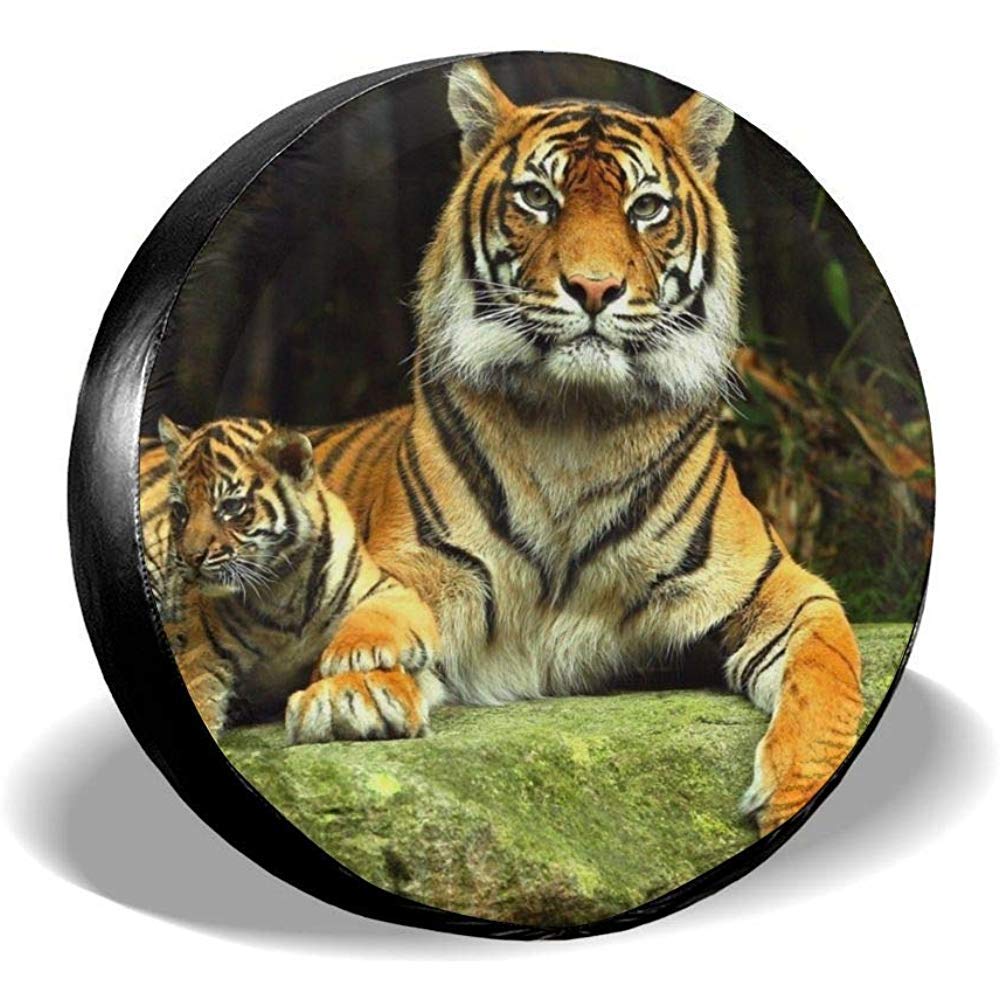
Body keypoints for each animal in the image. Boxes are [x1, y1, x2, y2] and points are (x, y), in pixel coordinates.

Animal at [138, 415, 442, 743]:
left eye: (231, 507)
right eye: (181, 510)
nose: (192, 557)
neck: (281, 588)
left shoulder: (390, 590)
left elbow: (375, 618)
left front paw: (348, 657)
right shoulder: (201, 649)